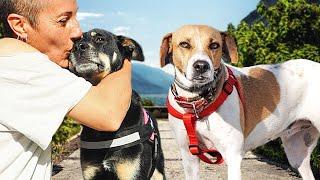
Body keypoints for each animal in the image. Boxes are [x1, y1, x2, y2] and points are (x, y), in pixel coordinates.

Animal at [160, 24, 320, 180]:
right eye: (184, 44)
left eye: (214, 45)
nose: (201, 66)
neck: (196, 103)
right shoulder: (189, 158)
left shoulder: (233, 157)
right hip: (297, 152)